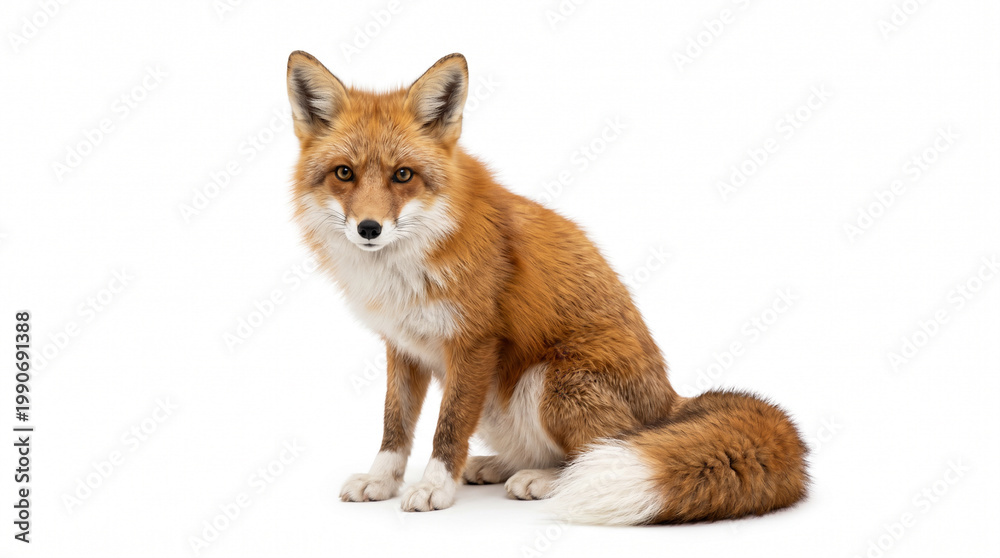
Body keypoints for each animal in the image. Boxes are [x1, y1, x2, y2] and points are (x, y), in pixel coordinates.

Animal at [285, 50, 808, 524]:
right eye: (345, 173)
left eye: (403, 175)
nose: (368, 228)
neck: (407, 266)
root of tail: (669, 404)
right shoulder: (402, 347)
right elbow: (395, 427)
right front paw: (382, 480)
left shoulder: (474, 342)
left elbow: (448, 428)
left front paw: (435, 487)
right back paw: (499, 466)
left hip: (548, 382)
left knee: (595, 453)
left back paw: (547, 481)